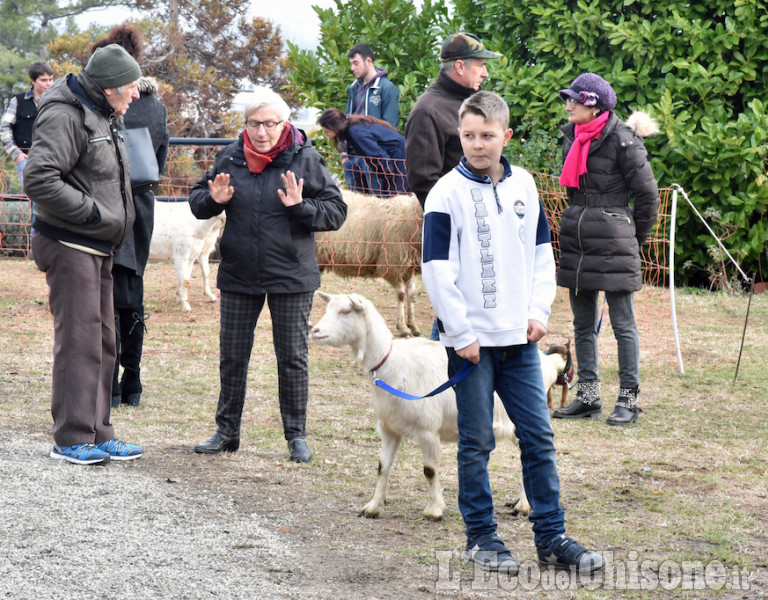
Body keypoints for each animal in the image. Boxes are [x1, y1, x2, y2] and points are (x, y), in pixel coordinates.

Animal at [308, 290, 532, 520]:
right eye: (328, 308)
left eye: (345, 311)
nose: (314, 331)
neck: (392, 364)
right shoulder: (389, 429)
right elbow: (382, 467)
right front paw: (373, 507)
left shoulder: (428, 431)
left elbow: (429, 471)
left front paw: (434, 510)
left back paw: (523, 506)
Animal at [312, 192, 424, 338]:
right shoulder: (391, 266)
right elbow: (401, 295)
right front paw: (403, 328)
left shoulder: (408, 268)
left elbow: (411, 295)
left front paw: (413, 326)